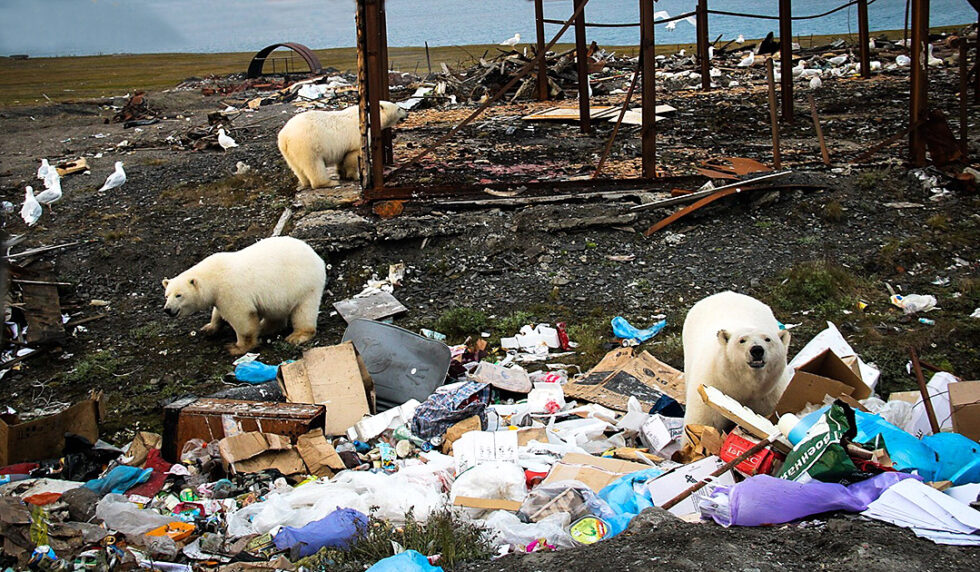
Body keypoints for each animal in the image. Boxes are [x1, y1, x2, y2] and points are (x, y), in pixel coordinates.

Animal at [162, 236, 326, 354]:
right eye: (166, 295)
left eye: (179, 295)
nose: (167, 309)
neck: (212, 276)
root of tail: (318, 258)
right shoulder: (220, 296)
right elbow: (218, 311)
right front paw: (209, 328)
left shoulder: (230, 290)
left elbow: (241, 318)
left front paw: (236, 347)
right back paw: (264, 327)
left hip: (303, 285)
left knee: (303, 310)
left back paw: (296, 336)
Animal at [278, 101, 408, 190]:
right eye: (398, 108)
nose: (407, 113)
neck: (368, 118)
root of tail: (285, 136)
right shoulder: (356, 138)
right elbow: (352, 157)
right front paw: (355, 176)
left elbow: (341, 159)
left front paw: (342, 174)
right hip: (307, 144)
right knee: (313, 164)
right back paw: (328, 183)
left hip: (289, 151)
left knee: (297, 167)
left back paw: (305, 182)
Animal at [684, 292, 792, 432]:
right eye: (742, 340)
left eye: (768, 339)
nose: (757, 350)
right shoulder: (712, 384)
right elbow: (704, 420)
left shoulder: (771, 395)